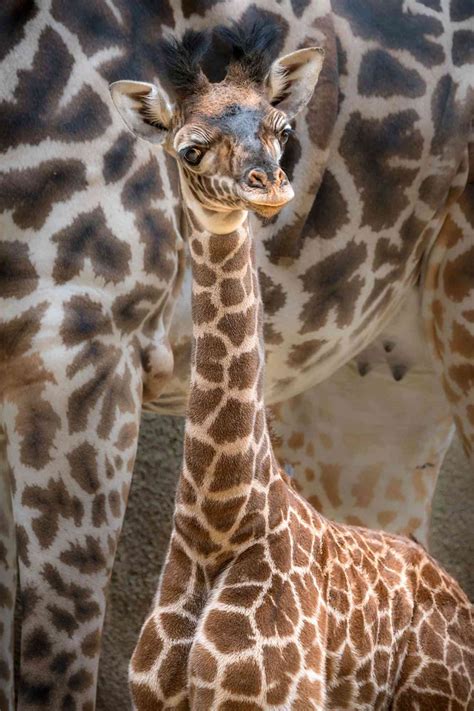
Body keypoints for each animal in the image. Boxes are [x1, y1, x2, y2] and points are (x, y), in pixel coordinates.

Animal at [1, 1, 473, 707]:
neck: (218, 527)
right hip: (376, 390)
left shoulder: (82, 344)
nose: (269, 184)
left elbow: (54, 668)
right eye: (189, 149)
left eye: (284, 129)